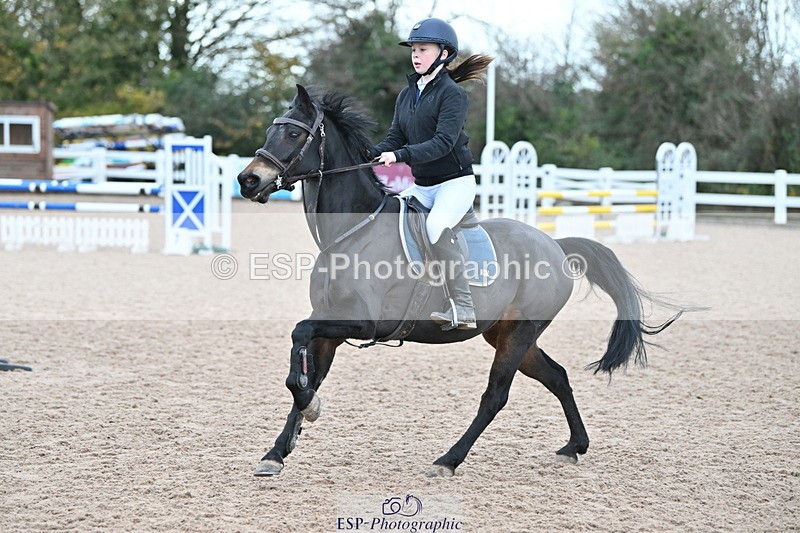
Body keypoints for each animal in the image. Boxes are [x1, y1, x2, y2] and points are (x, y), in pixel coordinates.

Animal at [237, 84, 684, 477]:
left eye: (294, 132)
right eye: (271, 130)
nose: (249, 180)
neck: (351, 233)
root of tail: (554, 245)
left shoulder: (364, 323)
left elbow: (299, 341)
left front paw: (308, 411)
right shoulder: (329, 325)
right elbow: (304, 369)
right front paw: (278, 450)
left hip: (519, 334)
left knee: (495, 396)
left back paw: (448, 460)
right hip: (507, 334)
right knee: (557, 375)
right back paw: (575, 446)